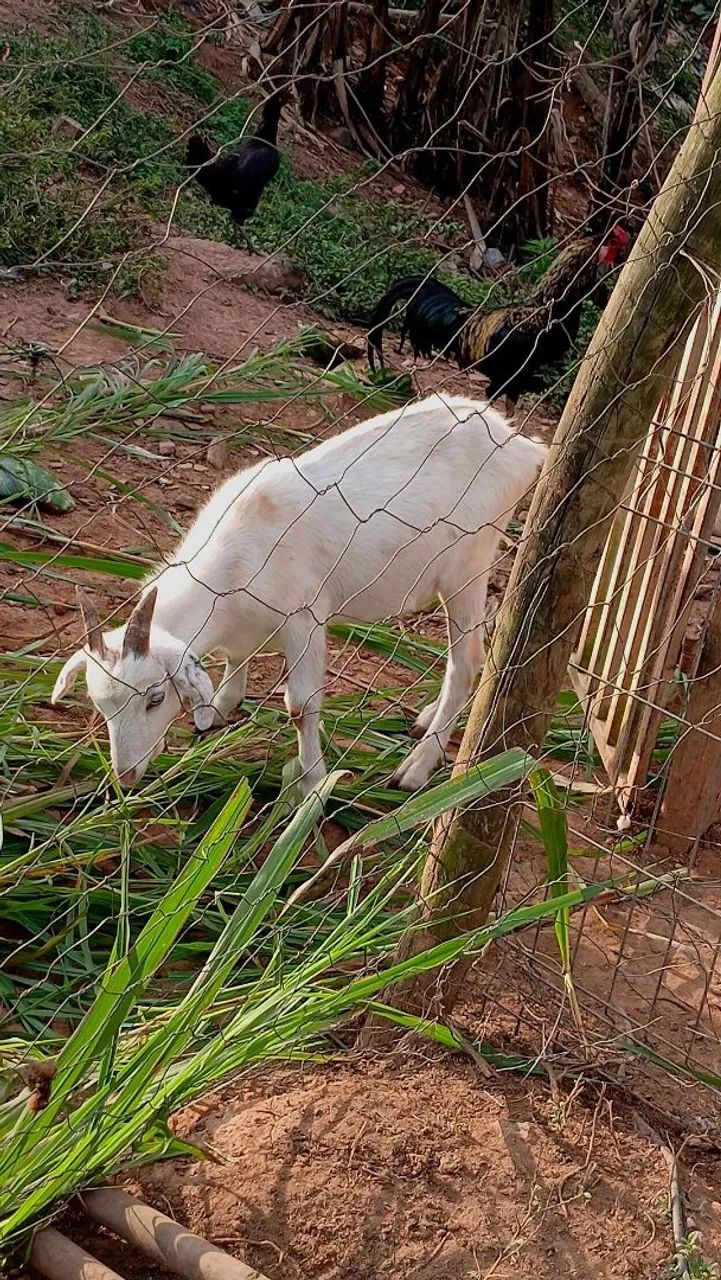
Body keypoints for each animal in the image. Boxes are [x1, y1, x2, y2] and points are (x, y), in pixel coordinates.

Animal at [52, 394, 546, 795]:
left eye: (154, 698)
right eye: (99, 704)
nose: (125, 776)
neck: (233, 559)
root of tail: (522, 445)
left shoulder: (303, 616)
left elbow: (300, 705)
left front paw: (313, 784)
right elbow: (233, 668)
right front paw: (218, 716)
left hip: (468, 565)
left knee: (467, 661)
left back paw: (416, 768)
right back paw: (426, 717)